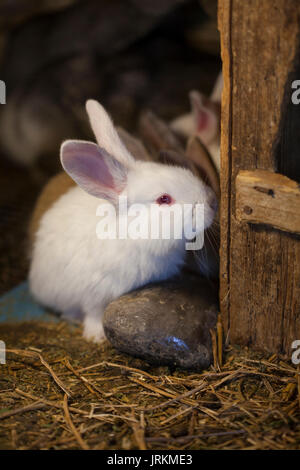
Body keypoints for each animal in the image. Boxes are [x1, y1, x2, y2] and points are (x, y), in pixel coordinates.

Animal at [28, 99, 218, 342]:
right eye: (164, 199)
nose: (212, 203)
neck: (132, 236)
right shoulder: (94, 292)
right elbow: (93, 313)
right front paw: (96, 336)